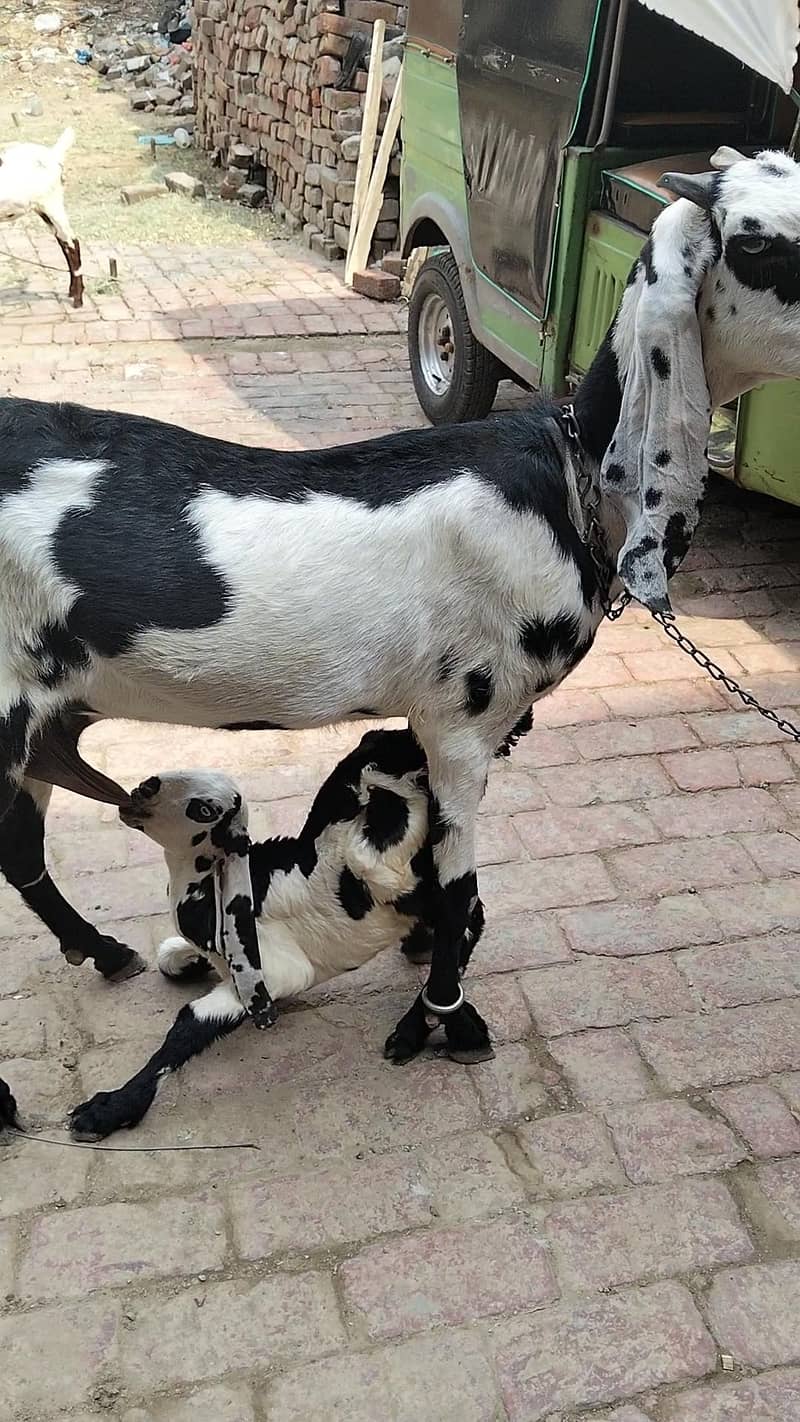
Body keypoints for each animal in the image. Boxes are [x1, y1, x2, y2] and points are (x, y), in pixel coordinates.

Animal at [0, 127, 83, 307]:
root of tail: (53, 154)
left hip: (52, 202)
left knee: (72, 241)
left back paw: (78, 299)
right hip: (43, 209)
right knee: (63, 241)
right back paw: (72, 291)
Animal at [68, 728, 486, 1140]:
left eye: (204, 810)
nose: (142, 788)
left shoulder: (271, 972)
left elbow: (188, 1026)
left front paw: (108, 1110)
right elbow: (167, 958)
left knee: (463, 916)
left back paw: (419, 1031)